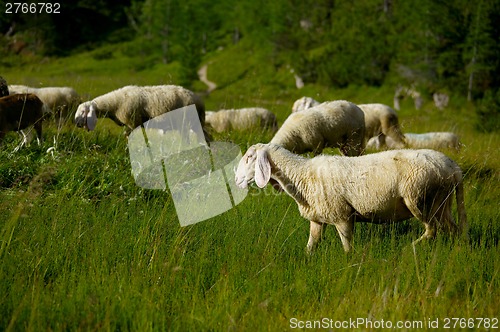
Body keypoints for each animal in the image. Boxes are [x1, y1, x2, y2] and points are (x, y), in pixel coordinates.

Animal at [73, 85, 207, 138]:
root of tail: (198, 99)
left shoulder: (133, 122)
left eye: (83, 111)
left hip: (184, 122)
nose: (77, 124)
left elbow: (128, 135)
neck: (114, 104)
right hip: (196, 122)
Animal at [236, 144, 466, 253]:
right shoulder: (317, 219)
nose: (236, 179)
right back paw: (457, 250)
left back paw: (408, 249)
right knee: (451, 229)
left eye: (249, 157)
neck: (302, 175)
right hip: (442, 202)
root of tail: (453, 168)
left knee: (431, 229)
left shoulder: (343, 217)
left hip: (419, 198)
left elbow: (348, 248)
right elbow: (311, 245)